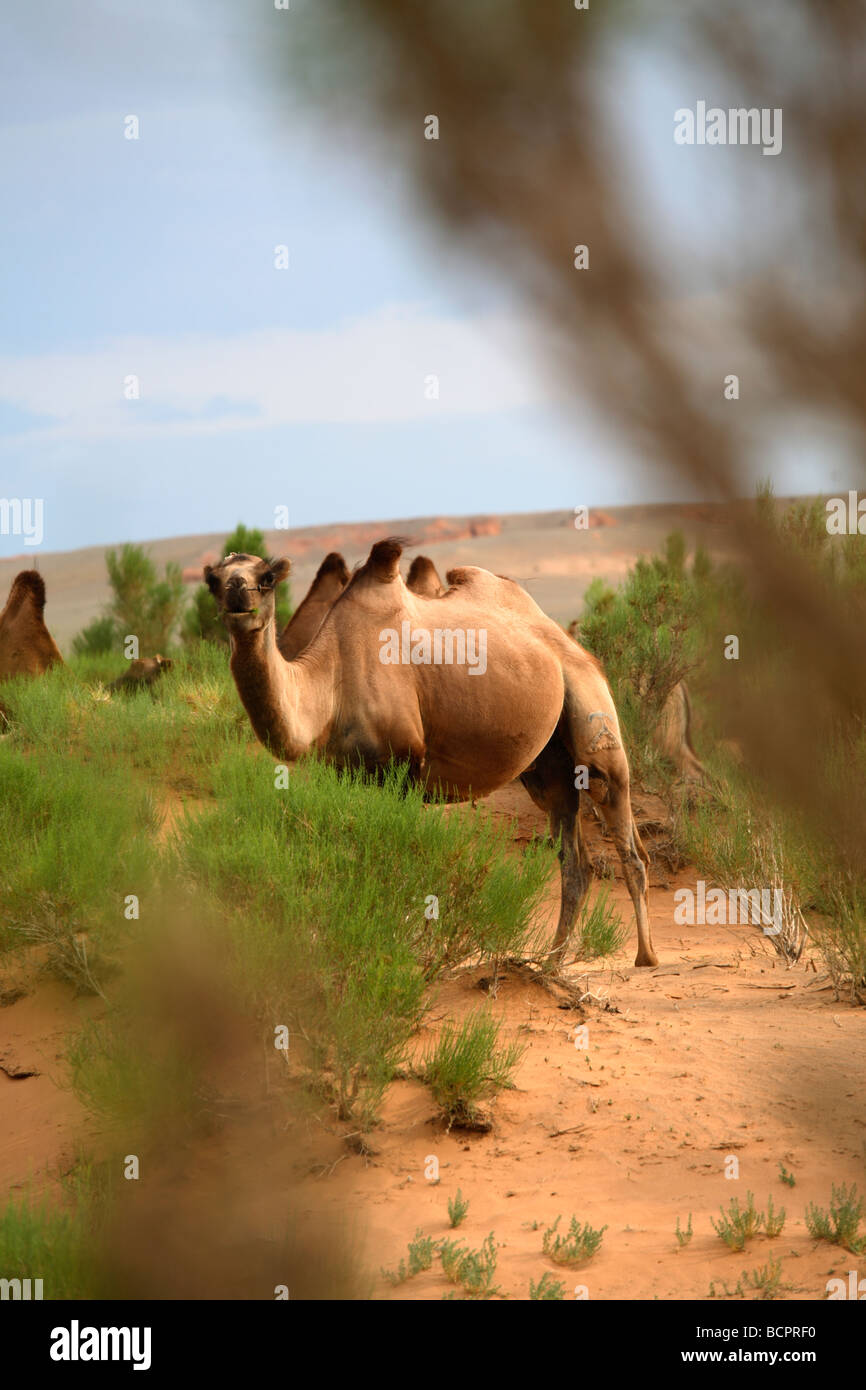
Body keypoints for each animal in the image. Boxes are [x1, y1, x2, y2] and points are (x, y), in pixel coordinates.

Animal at [208, 542, 656, 967]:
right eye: (214, 580)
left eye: (266, 578)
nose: (238, 593)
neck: (329, 685)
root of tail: (575, 647)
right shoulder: (349, 776)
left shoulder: (404, 769)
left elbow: (398, 861)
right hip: (549, 765)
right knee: (574, 858)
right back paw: (551, 963)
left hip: (592, 713)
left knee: (625, 833)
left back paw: (644, 956)